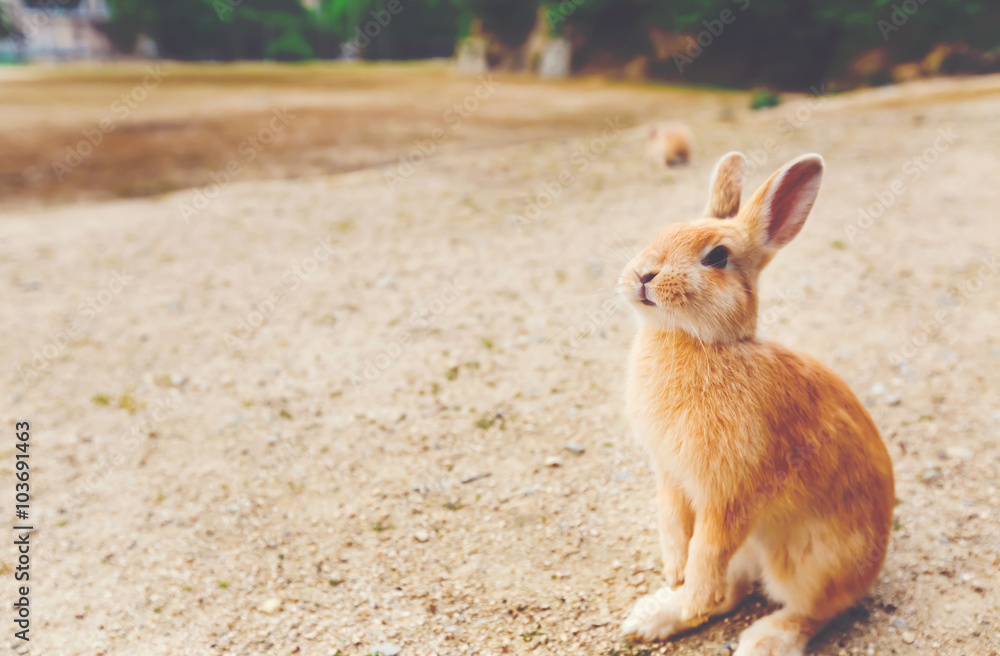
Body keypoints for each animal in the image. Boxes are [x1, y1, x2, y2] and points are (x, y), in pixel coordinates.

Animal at [616, 151, 892, 652]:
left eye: (717, 256)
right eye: (663, 230)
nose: (643, 275)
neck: (704, 341)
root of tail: (871, 569)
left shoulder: (731, 495)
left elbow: (708, 547)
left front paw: (691, 589)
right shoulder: (670, 476)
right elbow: (673, 526)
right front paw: (674, 574)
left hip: (806, 563)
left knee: (812, 610)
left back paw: (760, 638)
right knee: (734, 592)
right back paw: (655, 615)